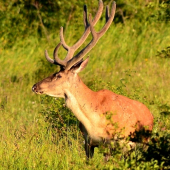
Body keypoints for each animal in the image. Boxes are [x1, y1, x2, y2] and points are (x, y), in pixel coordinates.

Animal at [31, 0, 154, 159]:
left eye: (58, 75)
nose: (35, 86)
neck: (92, 121)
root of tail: (150, 116)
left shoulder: (112, 142)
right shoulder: (88, 142)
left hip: (140, 145)